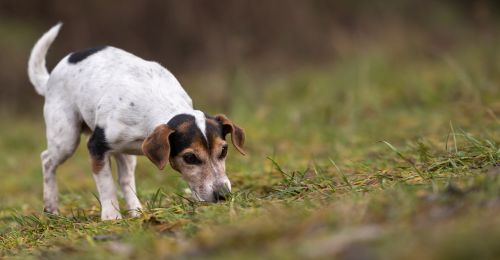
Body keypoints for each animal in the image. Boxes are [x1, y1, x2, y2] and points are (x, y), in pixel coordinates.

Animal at [27, 23, 246, 220]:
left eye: (224, 150)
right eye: (190, 157)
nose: (223, 195)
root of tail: (50, 78)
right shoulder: (96, 147)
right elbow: (106, 185)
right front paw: (111, 217)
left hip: (124, 153)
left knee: (125, 180)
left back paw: (136, 211)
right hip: (66, 139)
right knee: (47, 160)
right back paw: (51, 208)